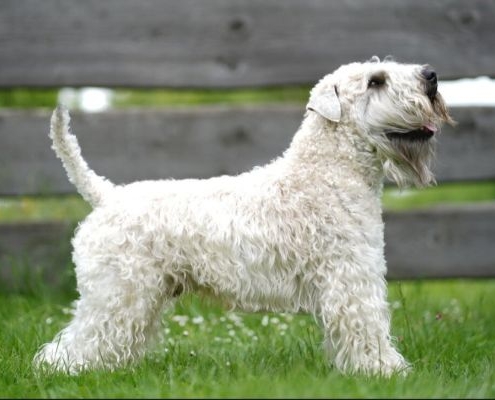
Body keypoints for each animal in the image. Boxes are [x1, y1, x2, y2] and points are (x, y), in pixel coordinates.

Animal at [34, 56, 454, 376]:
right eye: (375, 81)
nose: (431, 76)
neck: (326, 172)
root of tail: (106, 195)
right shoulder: (351, 277)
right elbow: (367, 325)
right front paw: (386, 371)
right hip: (117, 292)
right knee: (80, 339)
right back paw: (62, 371)